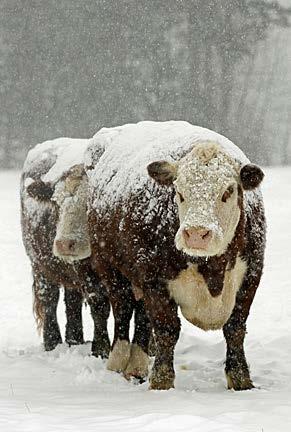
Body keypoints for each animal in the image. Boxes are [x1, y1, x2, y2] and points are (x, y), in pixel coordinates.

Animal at [20, 137, 110, 356]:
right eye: (56, 203)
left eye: (89, 205)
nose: (64, 243)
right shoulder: (85, 268)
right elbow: (99, 303)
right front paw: (101, 349)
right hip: (40, 264)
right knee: (49, 298)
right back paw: (52, 341)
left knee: (72, 300)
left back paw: (74, 339)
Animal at [85, 121, 266, 392]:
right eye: (179, 192)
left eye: (228, 191)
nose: (196, 233)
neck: (211, 267)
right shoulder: (154, 279)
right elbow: (166, 329)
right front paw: (161, 381)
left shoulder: (251, 274)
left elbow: (235, 328)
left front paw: (241, 379)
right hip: (109, 268)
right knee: (122, 311)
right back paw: (119, 361)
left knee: (141, 317)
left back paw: (137, 364)